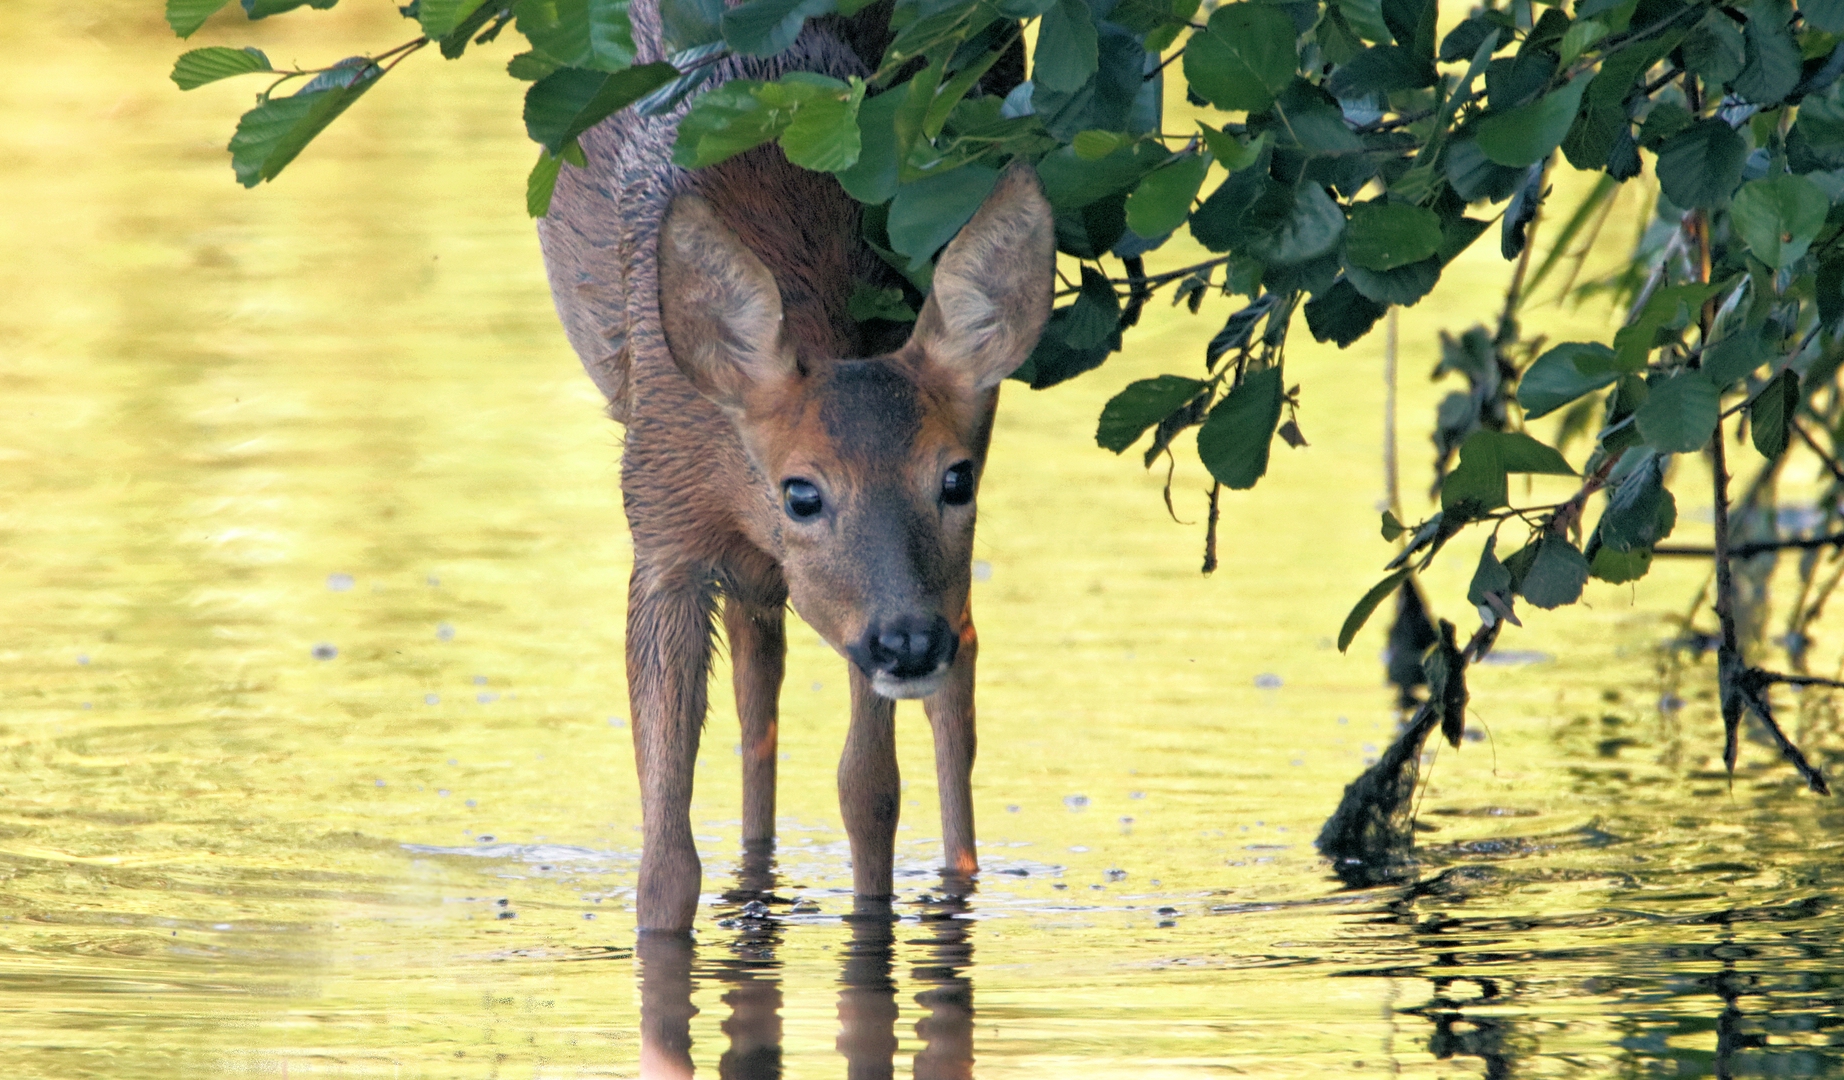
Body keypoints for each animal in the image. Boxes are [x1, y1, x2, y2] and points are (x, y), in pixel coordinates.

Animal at [534, 0, 1054, 928]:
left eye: (953, 478)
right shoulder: (659, 528)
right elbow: (665, 856)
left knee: (955, 675)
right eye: (801, 492)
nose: (905, 641)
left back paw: (958, 874)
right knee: (760, 667)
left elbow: (869, 792)